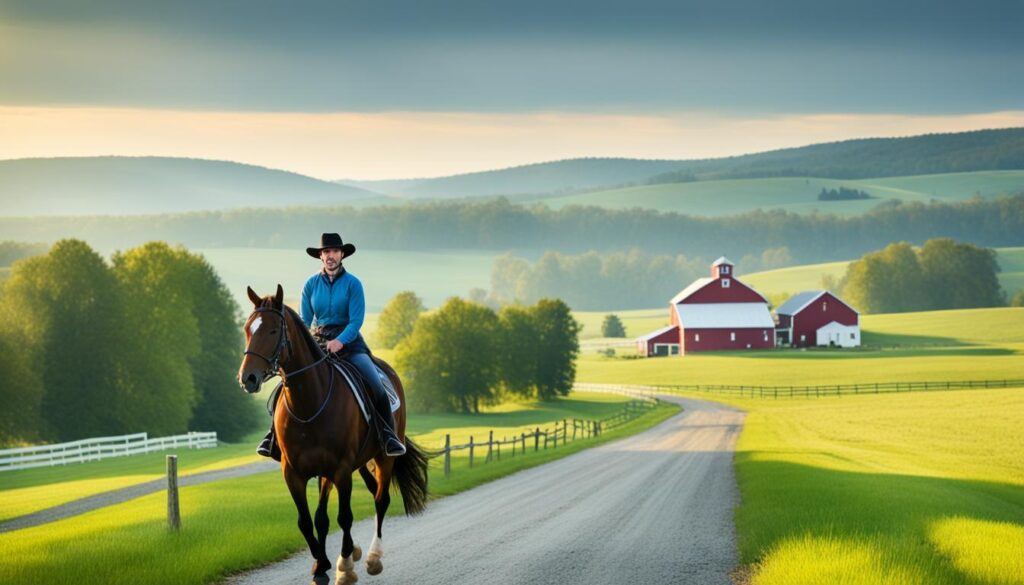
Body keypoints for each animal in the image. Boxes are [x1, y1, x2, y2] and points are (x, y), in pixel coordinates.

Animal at [236, 286, 428, 581]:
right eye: (248, 328)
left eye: (272, 331)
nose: (248, 378)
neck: (309, 402)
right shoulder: (294, 472)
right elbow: (309, 521)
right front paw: (321, 565)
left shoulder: (340, 468)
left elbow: (343, 517)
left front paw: (344, 567)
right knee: (335, 510)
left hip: (383, 458)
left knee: (380, 499)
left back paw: (372, 557)